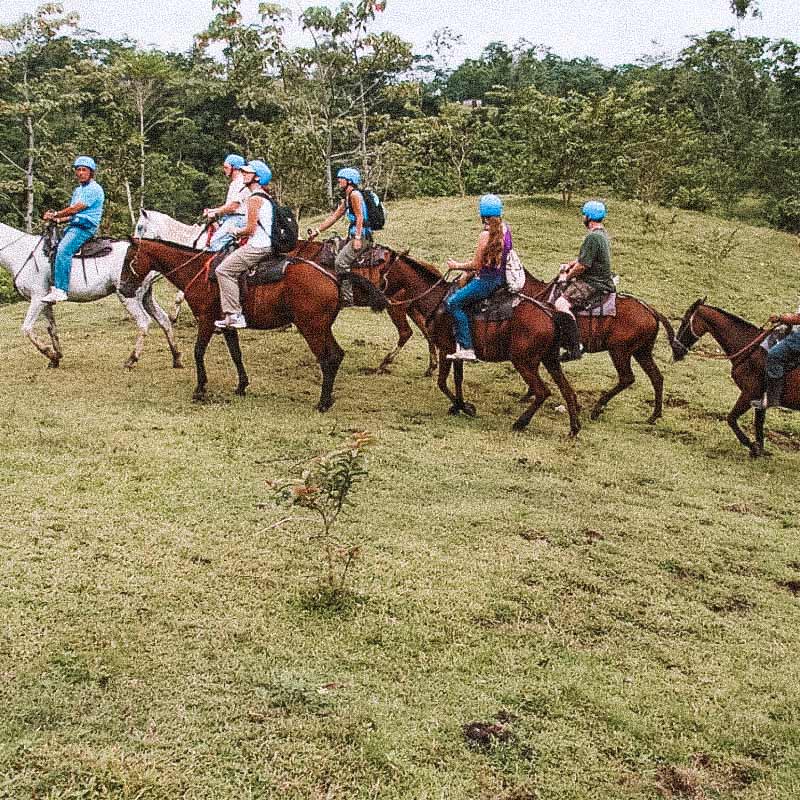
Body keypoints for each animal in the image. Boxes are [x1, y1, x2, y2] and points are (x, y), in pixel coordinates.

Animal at [0, 219, 181, 368]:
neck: (22, 253)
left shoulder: (37, 298)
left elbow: (27, 329)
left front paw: (50, 354)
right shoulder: (45, 301)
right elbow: (52, 328)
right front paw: (56, 357)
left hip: (128, 295)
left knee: (144, 322)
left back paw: (131, 359)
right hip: (145, 296)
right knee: (164, 320)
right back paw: (176, 358)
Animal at [121, 239, 388, 410]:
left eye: (129, 259)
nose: (124, 287)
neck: (198, 271)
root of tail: (333, 277)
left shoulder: (206, 321)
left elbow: (198, 352)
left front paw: (200, 389)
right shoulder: (227, 325)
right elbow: (236, 355)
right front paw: (241, 386)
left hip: (311, 327)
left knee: (328, 358)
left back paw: (322, 403)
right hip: (322, 328)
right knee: (337, 355)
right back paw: (328, 399)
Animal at [290, 236, 438, 376]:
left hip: (396, 307)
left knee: (405, 332)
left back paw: (383, 364)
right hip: (411, 308)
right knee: (426, 330)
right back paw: (431, 367)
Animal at [378, 253, 580, 434]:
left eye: (382, 270)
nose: (378, 294)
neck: (438, 299)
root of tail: (550, 314)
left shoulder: (445, 349)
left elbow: (442, 382)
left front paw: (465, 407)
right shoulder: (456, 353)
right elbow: (458, 379)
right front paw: (459, 406)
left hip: (524, 362)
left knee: (542, 392)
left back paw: (520, 423)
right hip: (550, 359)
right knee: (567, 390)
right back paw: (574, 428)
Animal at [672, 298, 796, 456]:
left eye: (684, 320)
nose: (675, 348)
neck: (749, 348)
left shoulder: (750, 393)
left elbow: (731, 418)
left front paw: (752, 446)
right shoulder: (760, 398)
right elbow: (759, 423)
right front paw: (759, 449)